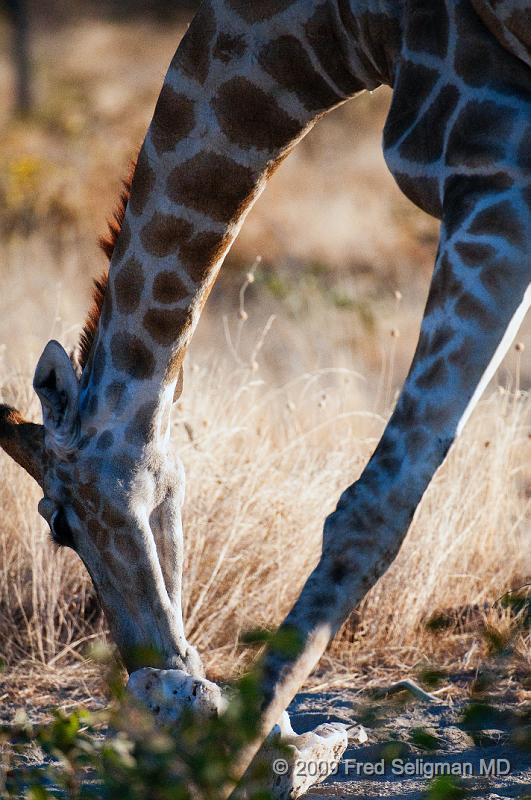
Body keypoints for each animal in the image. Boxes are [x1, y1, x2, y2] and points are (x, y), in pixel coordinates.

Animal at [0, 0, 528, 788]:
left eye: (59, 524)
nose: (156, 682)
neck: (340, 30)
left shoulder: (494, 173)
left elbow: (370, 510)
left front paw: (234, 761)